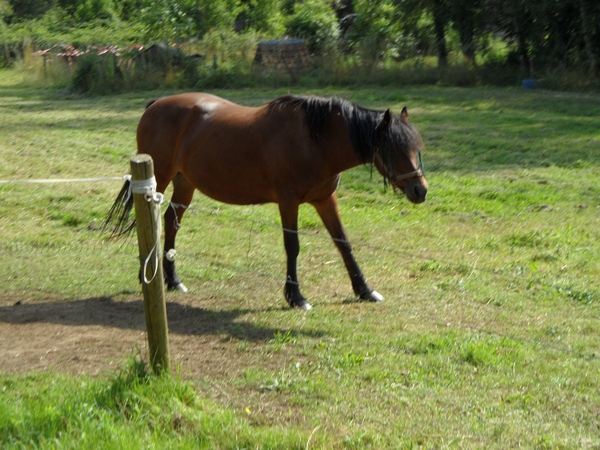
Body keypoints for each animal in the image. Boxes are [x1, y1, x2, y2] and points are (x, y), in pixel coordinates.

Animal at [105, 91, 428, 310]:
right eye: (393, 148)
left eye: (416, 147)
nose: (420, 190)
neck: (316, 140)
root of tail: (155, 105)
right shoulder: (288, 201)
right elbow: (292, 245)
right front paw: (296, 297)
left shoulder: (325, 200)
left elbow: (343, 243)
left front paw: (365, 290)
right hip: (158, 177)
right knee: (152, 223)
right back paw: (149, 276)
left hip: (185, 184)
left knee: (171, 224)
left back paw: (172, 280)